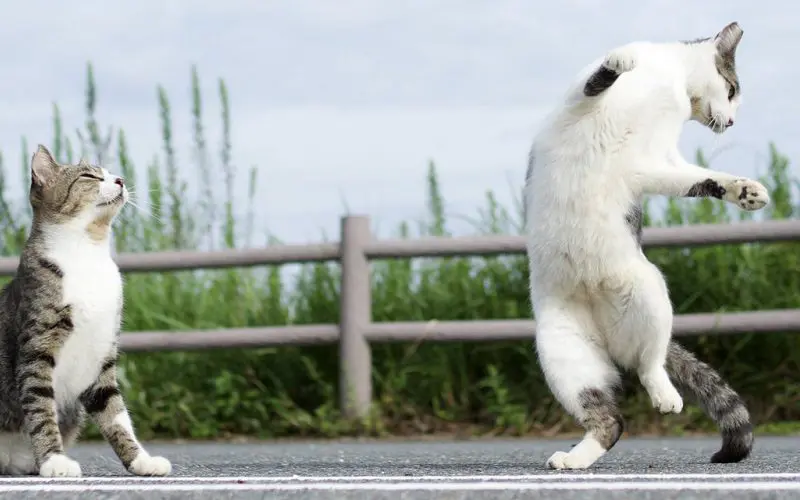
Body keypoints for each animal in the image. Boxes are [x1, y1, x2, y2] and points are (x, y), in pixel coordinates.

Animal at [524, 21, 764, 470]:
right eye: (733, 89)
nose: (733, 121)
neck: (670, 83)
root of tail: (605, 332)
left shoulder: (661, 164)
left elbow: (703, 179)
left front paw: (744, 191)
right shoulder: (578, 100)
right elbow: (597, 79)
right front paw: (620, 61)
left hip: (649, 294)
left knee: (646, 367)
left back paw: (664, 395)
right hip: (564, 352)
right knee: (610, 419)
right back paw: (575, 459)